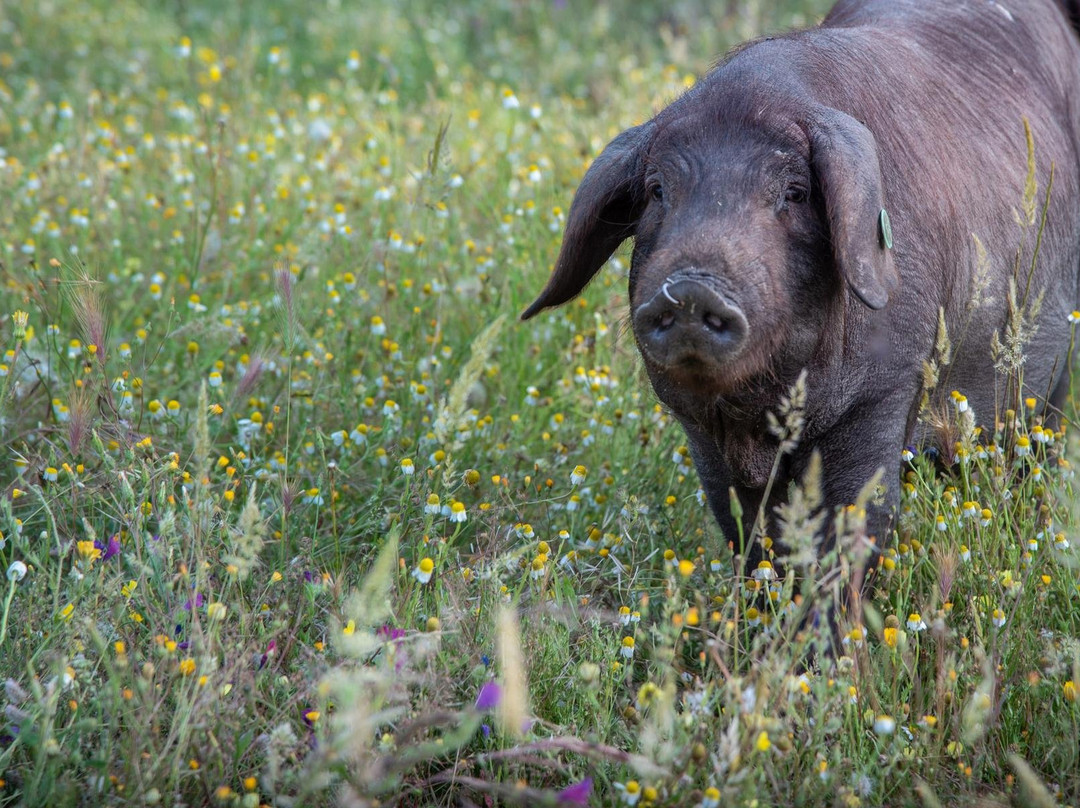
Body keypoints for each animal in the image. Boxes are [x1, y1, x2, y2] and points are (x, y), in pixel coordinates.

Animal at [520, 0, 1080, 591]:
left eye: (794, 193)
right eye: (656, 191)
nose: (692, 288)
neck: (763, 418)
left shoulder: (885, 391)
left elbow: (856, 524)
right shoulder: (700, 432)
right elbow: (747, 531)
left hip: (1051, 371)